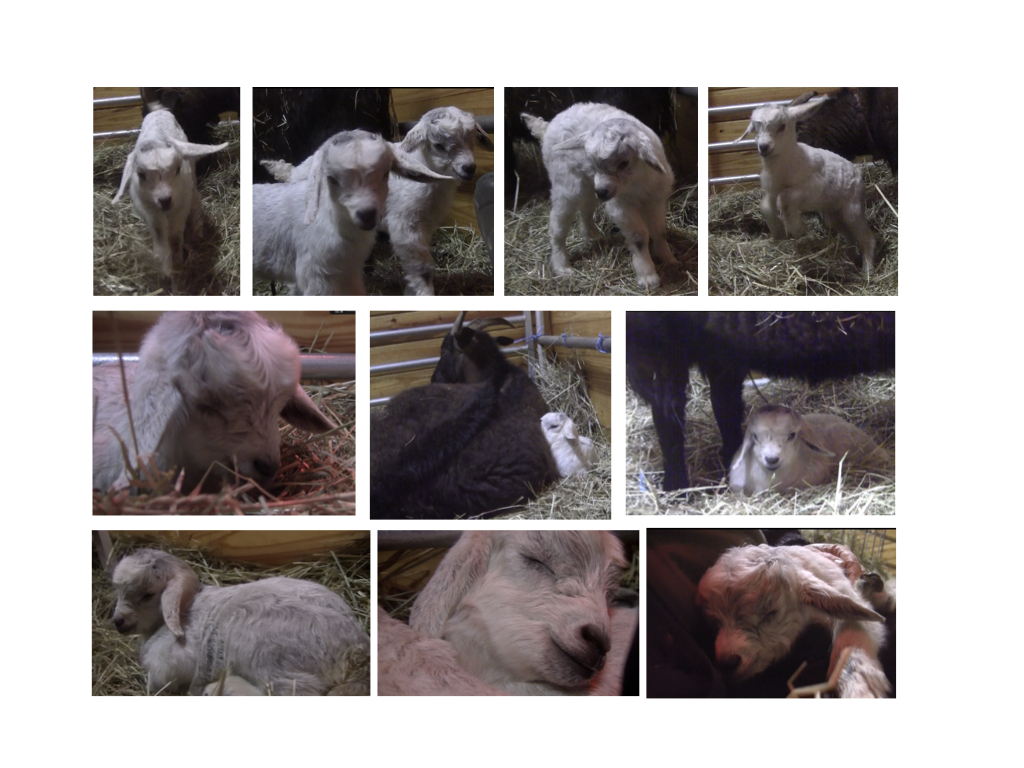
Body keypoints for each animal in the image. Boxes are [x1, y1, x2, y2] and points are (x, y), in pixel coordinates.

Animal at [111, 548, 370, 695]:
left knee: (298, 692)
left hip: (266, 655)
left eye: (148, 594)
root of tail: (355, 649)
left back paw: (219, 688)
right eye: (119, 591)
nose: (118, 621)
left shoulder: (168, 665)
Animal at [112, 107, 228, 285]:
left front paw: (179, 262)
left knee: (196, 199)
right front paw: (164, 267)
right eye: (140, 174)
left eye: (178, 168)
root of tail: (159, 111)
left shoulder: (181, 205)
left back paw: (197, 231)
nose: (165, 200)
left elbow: (175, 237)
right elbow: (160, 235)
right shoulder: (150, 210)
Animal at [523, 102, 676, 288]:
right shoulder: (622, 207)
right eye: (593, 163)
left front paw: (668, 257)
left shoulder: (656, 199)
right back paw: (561, 265)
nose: (602, 191)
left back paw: (592, 236)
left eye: (623, 163)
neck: (637, 182)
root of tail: (548, 126)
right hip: (566, 184)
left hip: (588, 185)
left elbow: (659, 230)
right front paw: (647, 275)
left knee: (586, 209)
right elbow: (639, 237)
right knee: (558, 224)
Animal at [697, 543, 890, 697]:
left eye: (771, 612)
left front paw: (861, 686)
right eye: (713, 623)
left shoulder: (844, 593)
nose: (727, 662)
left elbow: (850, 641)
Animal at [738, 99, 877, 278]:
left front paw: (797, 228)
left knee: (866, 237)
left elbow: (786, 199)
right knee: (850, 235)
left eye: (782, 126)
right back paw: (851, 257)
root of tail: (858, 172)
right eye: (755, 128)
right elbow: (766, 207)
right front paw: (778, 232)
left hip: (853, 208)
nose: (764, 147)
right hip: (834, 214)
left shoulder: (812, 188)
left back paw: (867, 270)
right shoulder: (771, 190)